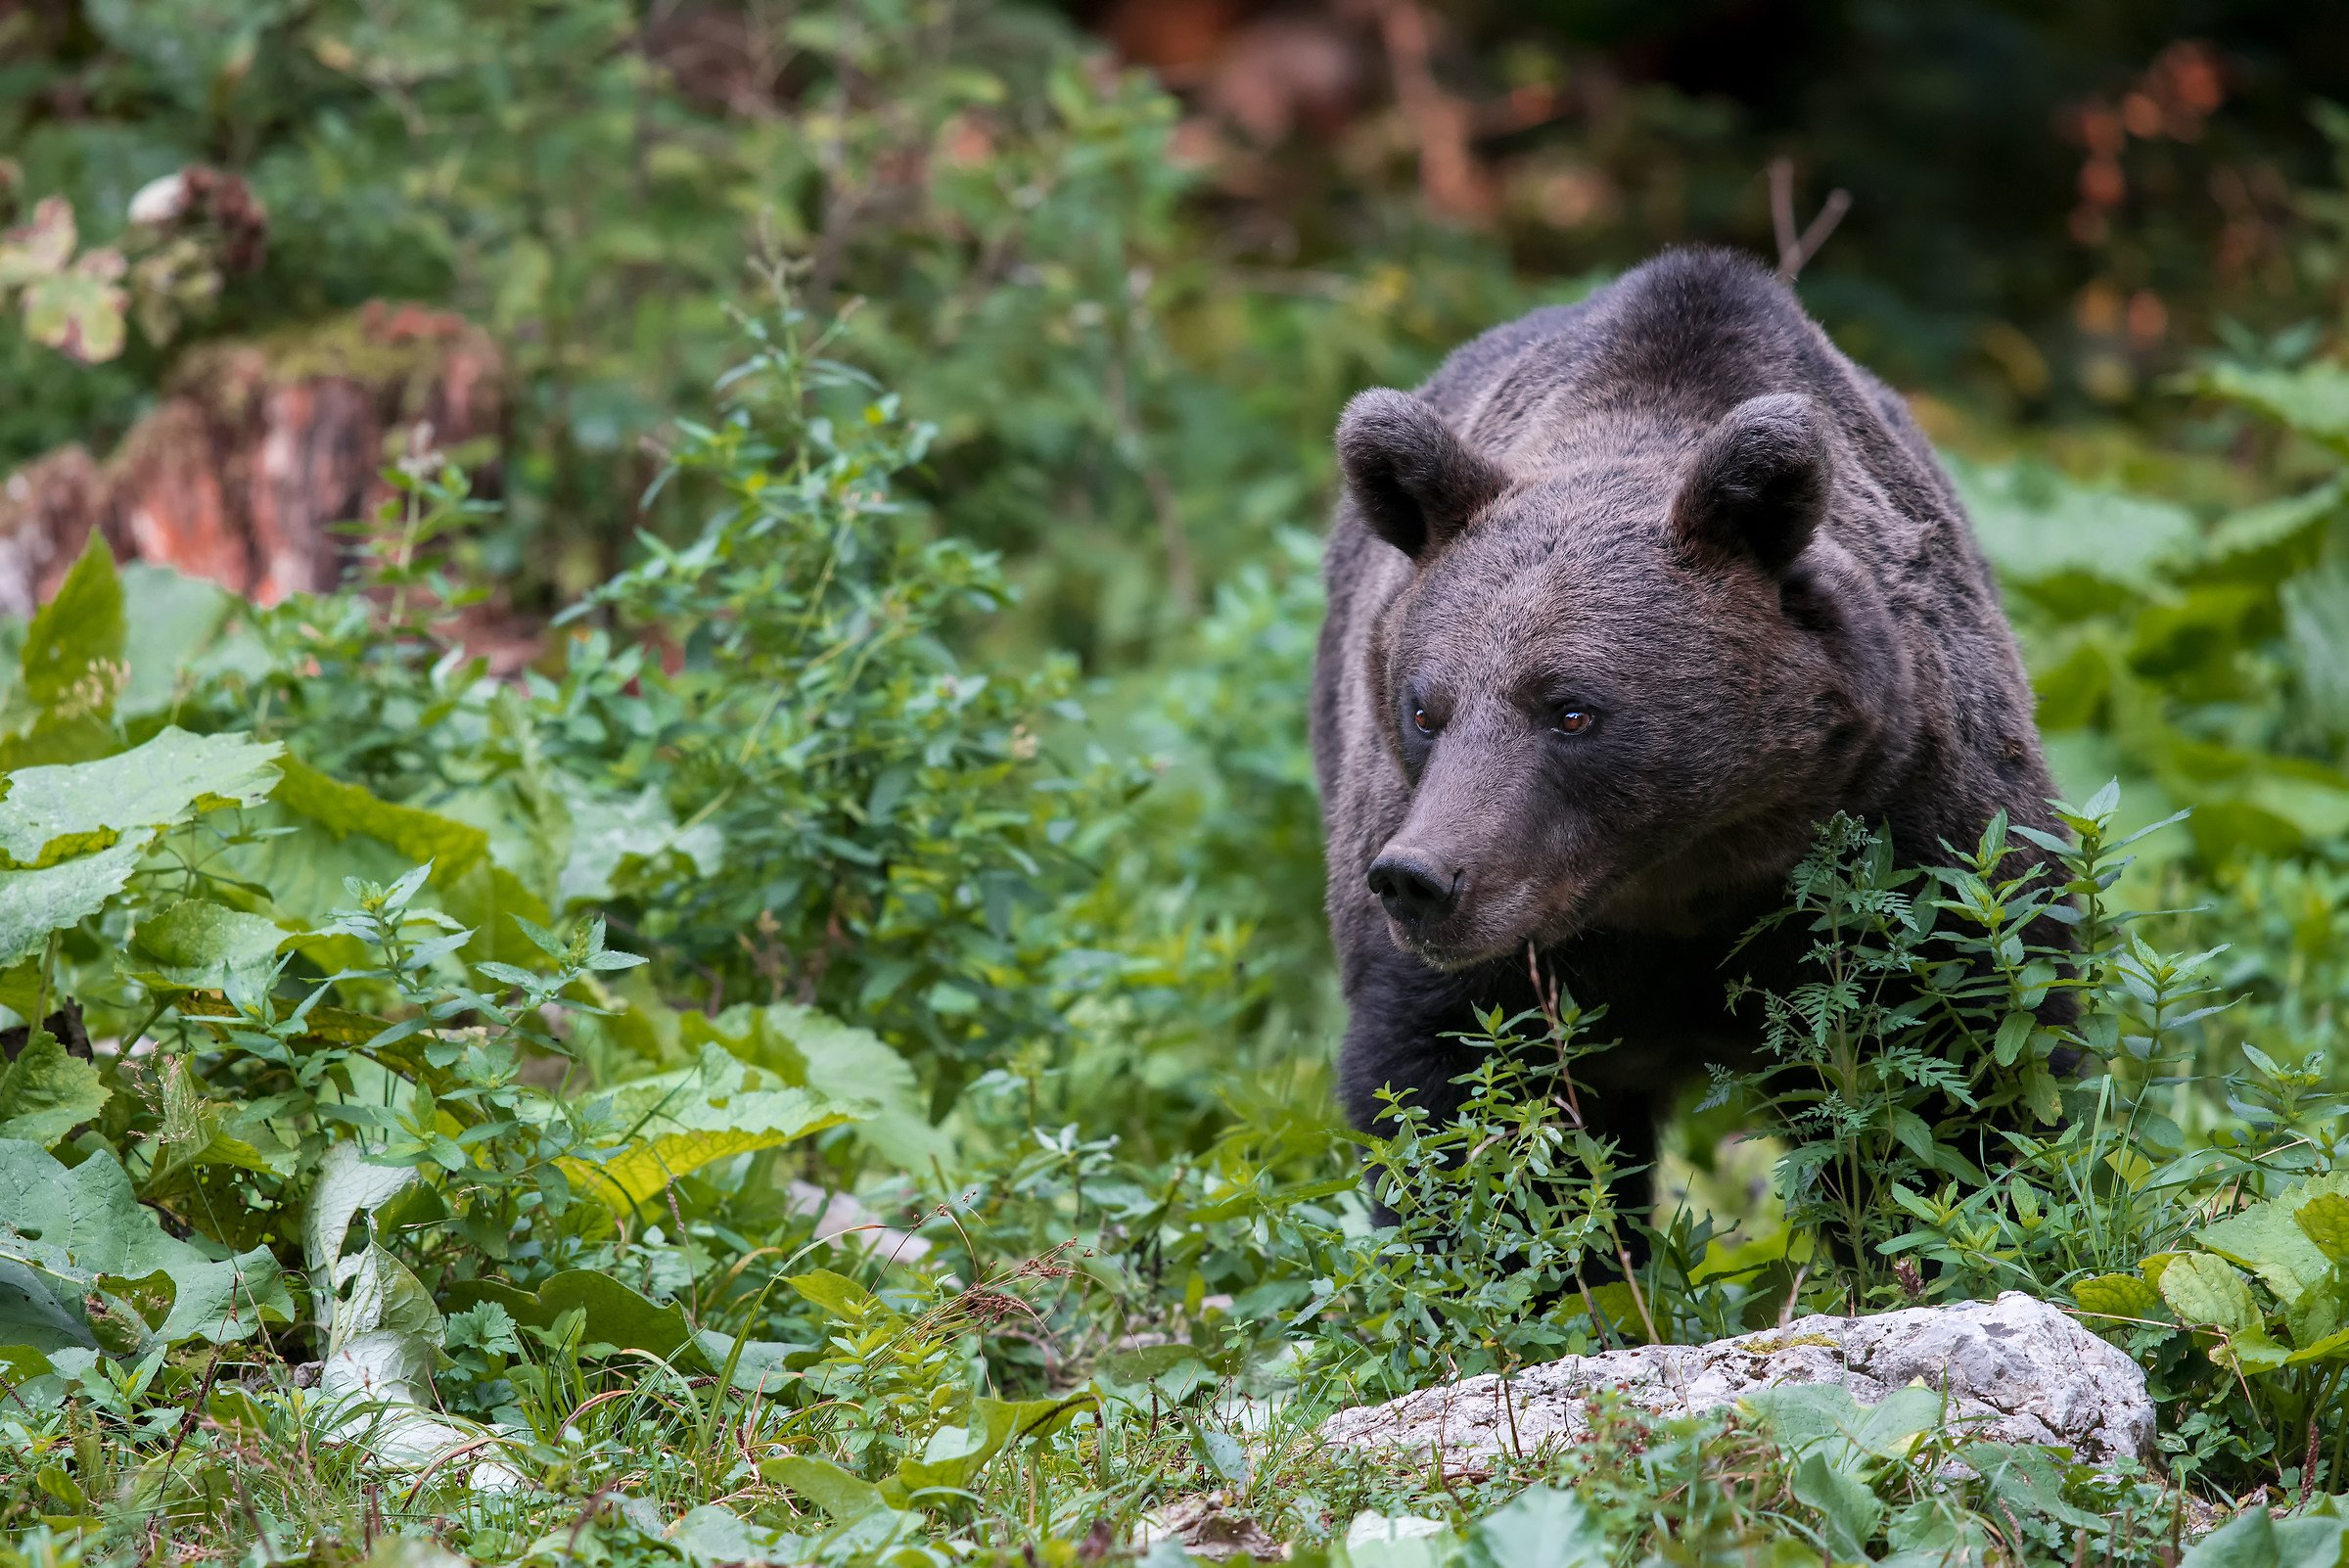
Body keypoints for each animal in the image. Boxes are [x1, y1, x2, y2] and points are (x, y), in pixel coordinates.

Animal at [1310, 247, 2064, 1241]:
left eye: (1571, 710)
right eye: (1424, 709)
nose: (1421, 881)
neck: (1679, 869)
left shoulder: (1915, 825)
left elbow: (1966, 1072)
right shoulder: (1477, 943)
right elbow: (1463, 1108)